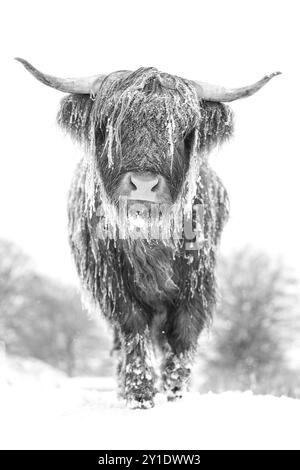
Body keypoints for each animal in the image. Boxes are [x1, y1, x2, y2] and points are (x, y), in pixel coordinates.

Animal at [15, 58, 278, 410]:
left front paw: (176, 394)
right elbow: (133, 327)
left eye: (184, 132)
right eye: (109, 126)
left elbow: (183, 334)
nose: (143, 184)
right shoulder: (111, 283)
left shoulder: (198, 283)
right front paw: (138, 394)